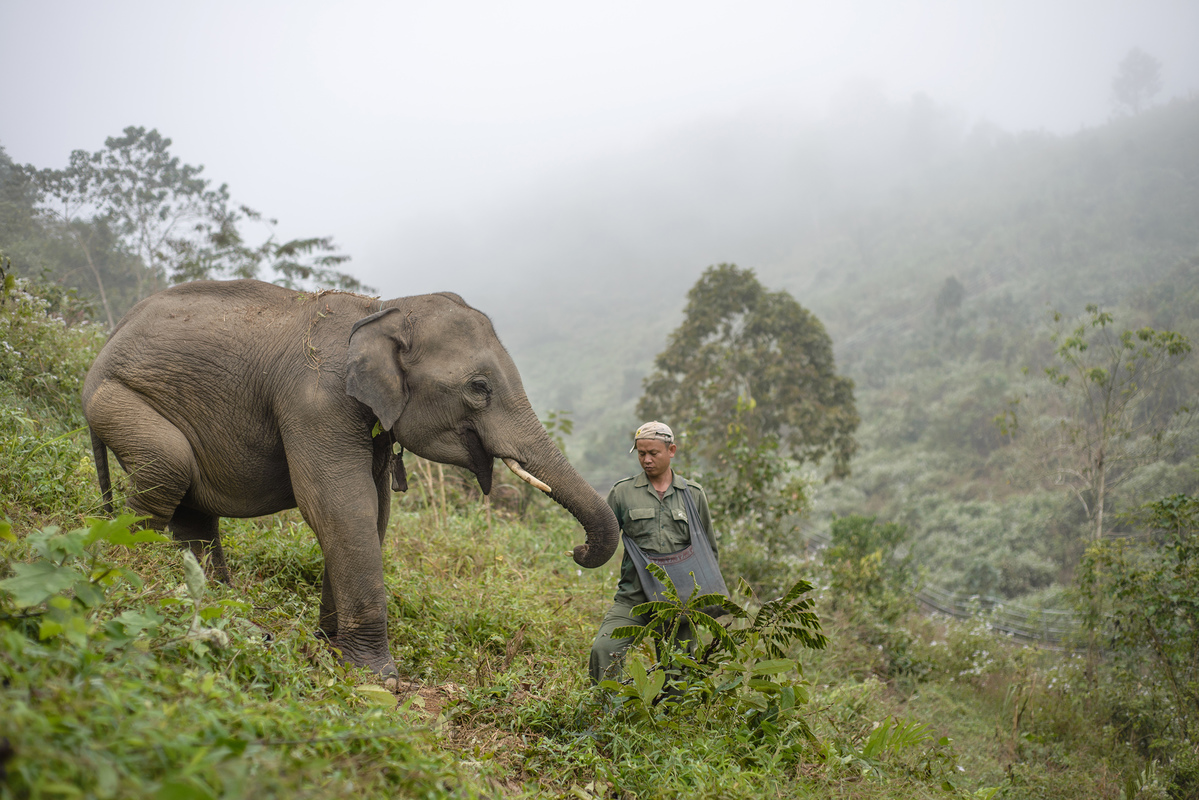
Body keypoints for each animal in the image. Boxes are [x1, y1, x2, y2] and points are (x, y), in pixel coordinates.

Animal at [83, 279, 619, 684]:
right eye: (479, 388)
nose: (576, 551)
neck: (381, 309)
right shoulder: (315, 403)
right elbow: (341, 505)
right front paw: (379, 677)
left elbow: (374, 513)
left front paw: (331, 649)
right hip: (117, 395)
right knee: (168, 467)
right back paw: (135, 570)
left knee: (192, 510)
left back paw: (225, 609)